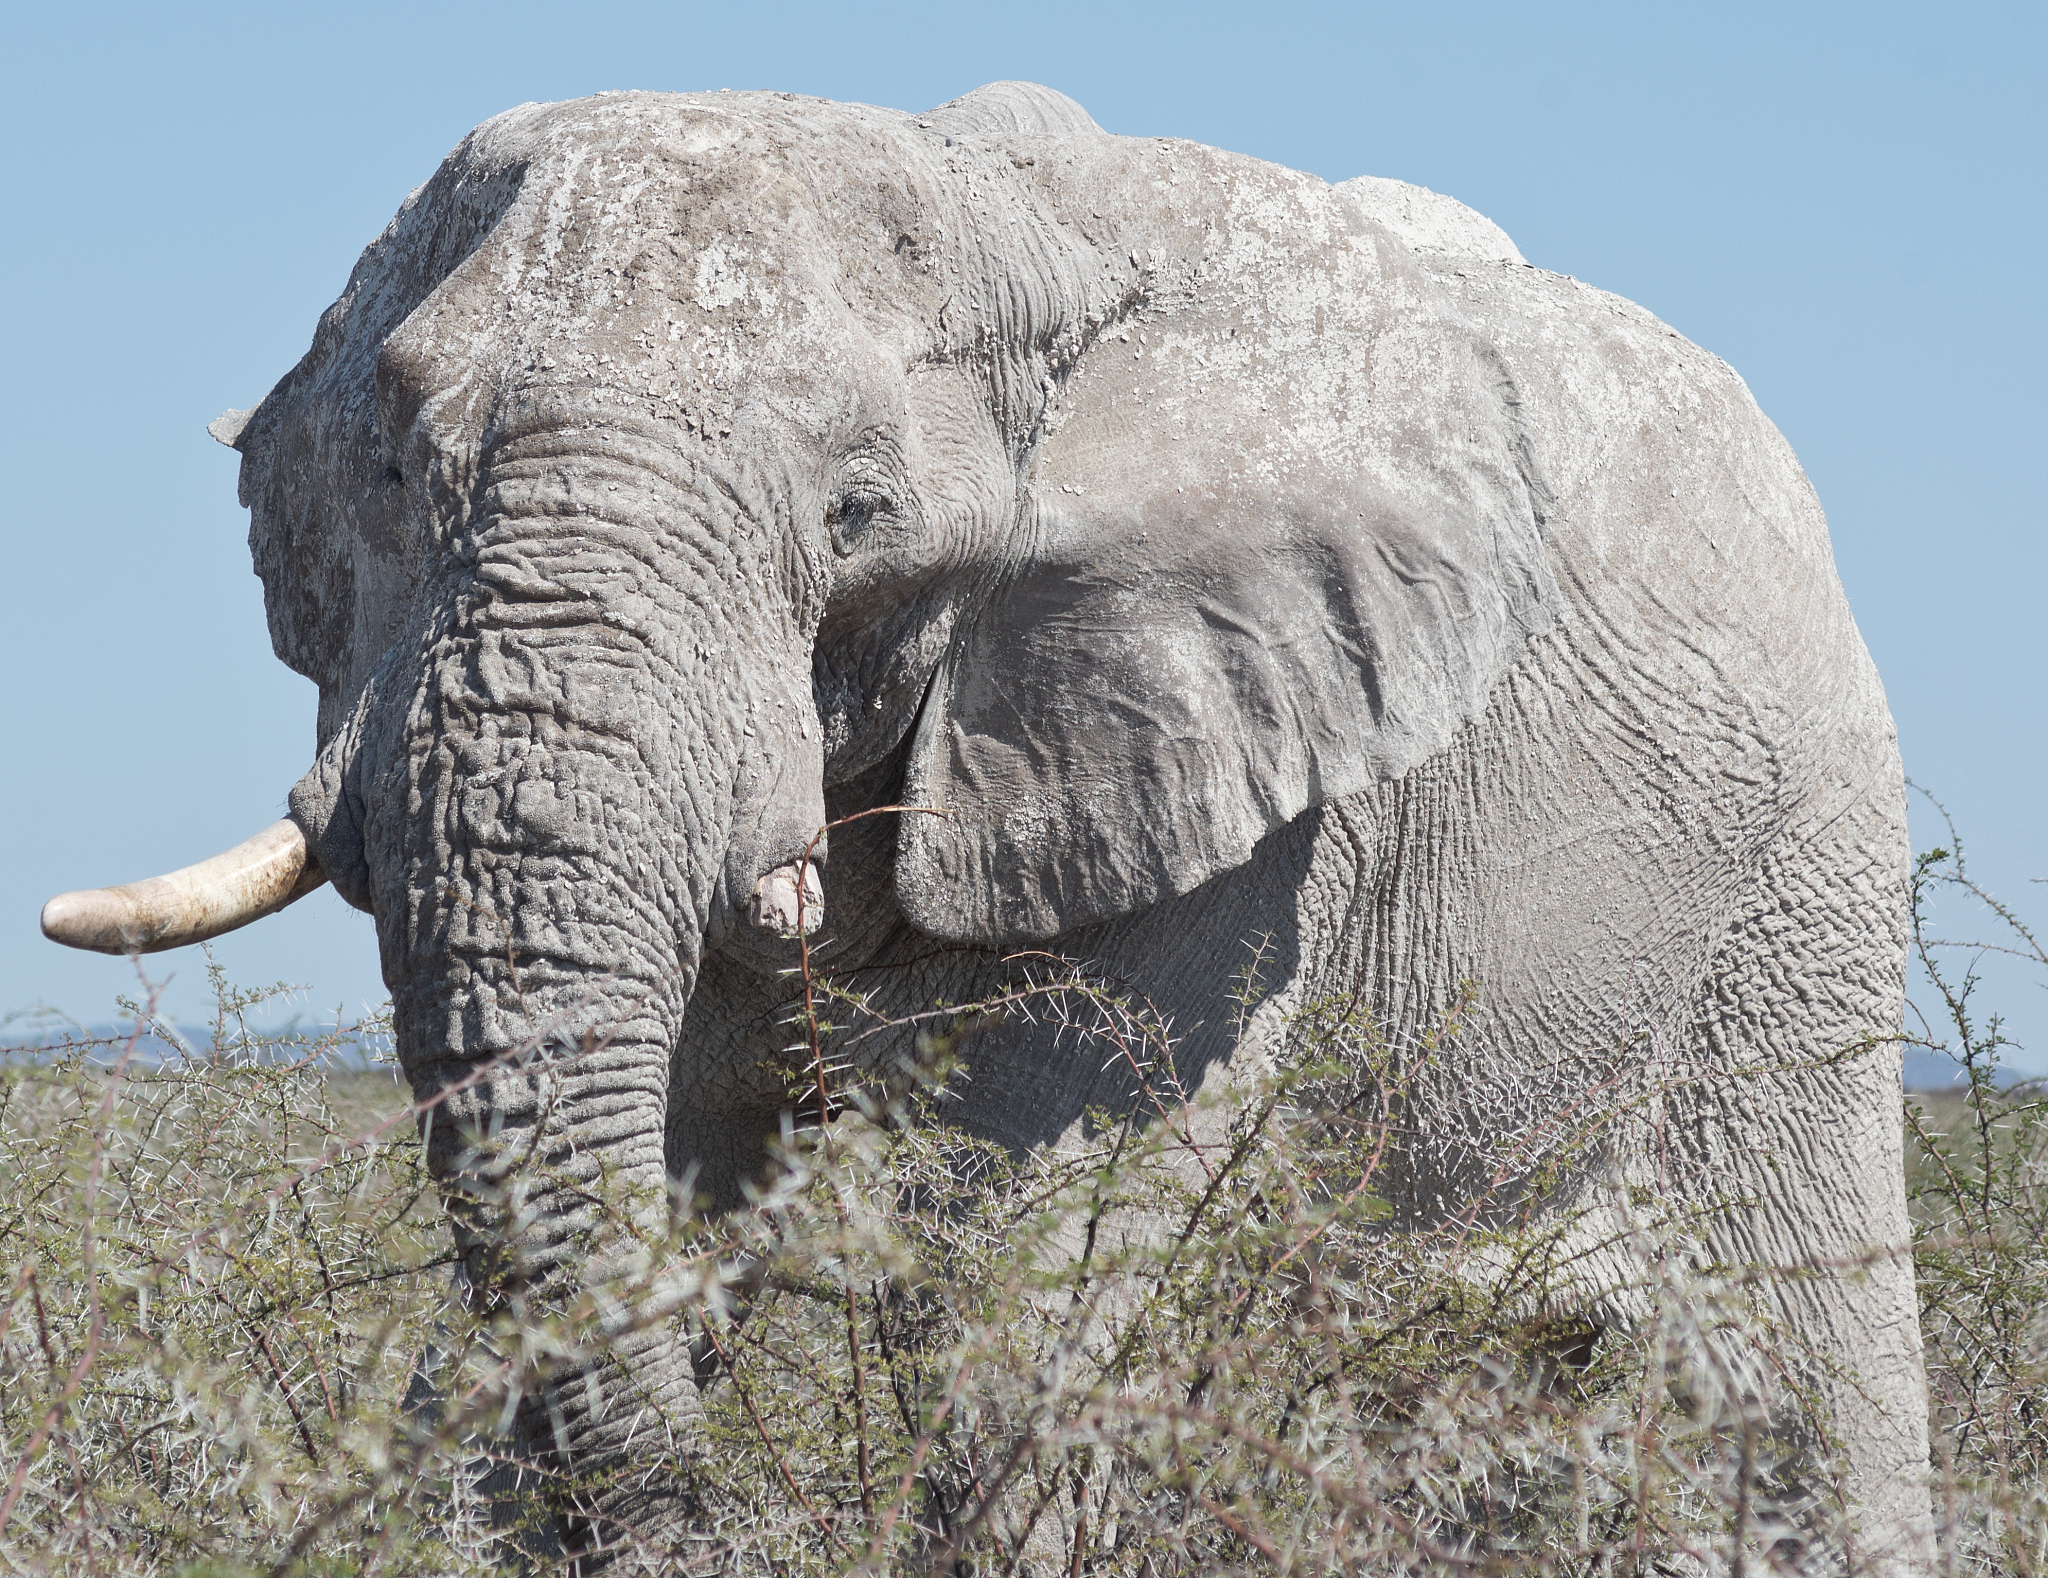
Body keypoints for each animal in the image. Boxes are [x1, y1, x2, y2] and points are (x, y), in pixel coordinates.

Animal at [43, 81, 1929, 1567]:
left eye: (857, 512)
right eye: (387, 470)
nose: (703, 1522)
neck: (1006, 222)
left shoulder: (1236, 790)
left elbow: (1032, 1285)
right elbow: (639, 1185)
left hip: (1798, 870)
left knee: (1808, 1371)